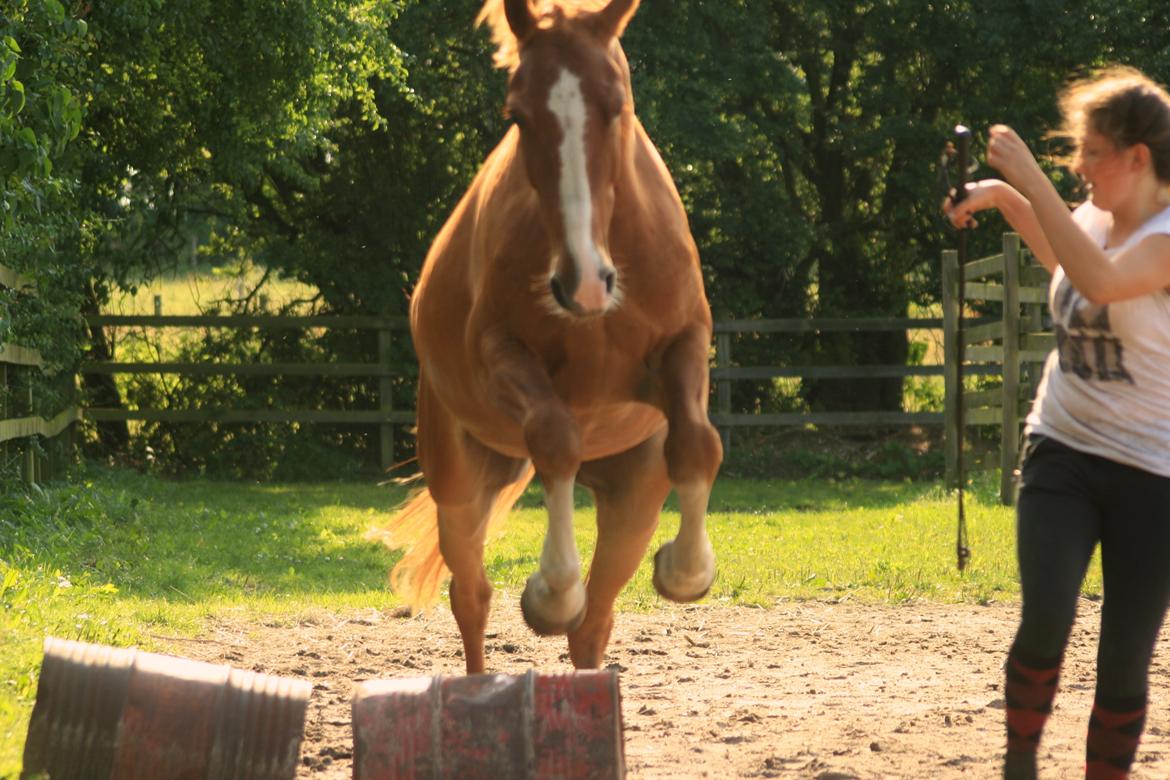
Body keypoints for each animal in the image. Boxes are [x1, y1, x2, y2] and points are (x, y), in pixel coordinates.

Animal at [374, 0, 720, 673]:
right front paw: (550, 592)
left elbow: (698, 444)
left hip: (633, 496)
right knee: (472, 597)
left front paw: (685, 570)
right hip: (461, 483)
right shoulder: (502, 358)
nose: (582, 283)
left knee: (595, 623)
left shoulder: (685, 347)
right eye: (518, 114)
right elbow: (556, 436)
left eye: (617, 104)